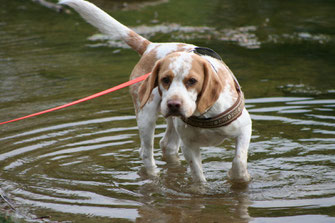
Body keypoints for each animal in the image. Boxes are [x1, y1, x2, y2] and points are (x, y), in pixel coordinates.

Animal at [59, 0, 252, 183]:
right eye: (164, 80)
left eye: (192, 81)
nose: (174, 104)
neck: (203, 114)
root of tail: (151, 46)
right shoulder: (189, 146)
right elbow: (198, 177)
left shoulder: (244, 129)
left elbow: (239, 161)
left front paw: (238, 177)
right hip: (146, 116)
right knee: (146, 152)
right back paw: (153, 176)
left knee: (167, 145)